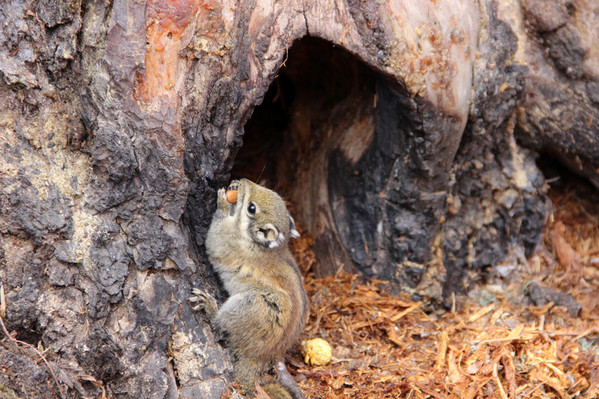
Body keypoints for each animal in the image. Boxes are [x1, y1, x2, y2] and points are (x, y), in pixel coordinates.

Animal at [190, 179, 310, 399]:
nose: (242, 181)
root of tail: (261, 358)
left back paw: (209, 306)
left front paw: (223, 203)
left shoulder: (224, 240)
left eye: (251, 208)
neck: (260, 246)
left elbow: (216, 234)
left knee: (220, 326)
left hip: (252, 305)